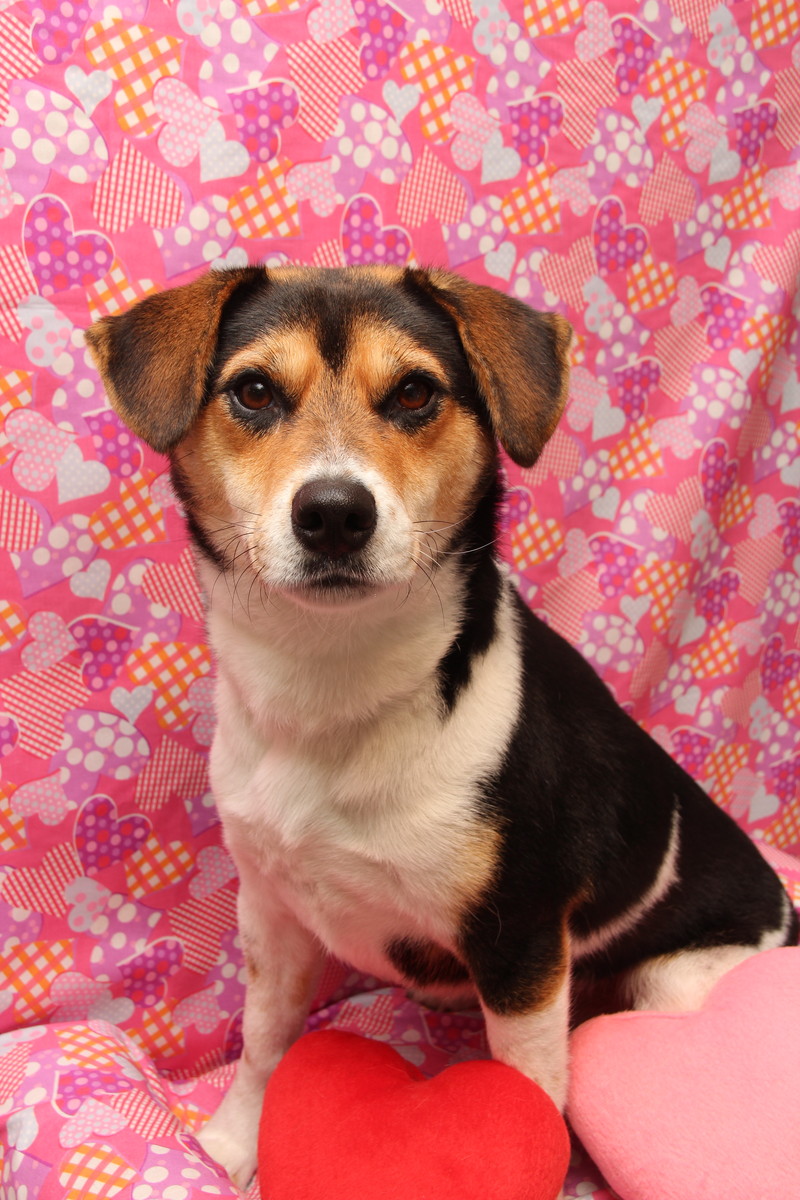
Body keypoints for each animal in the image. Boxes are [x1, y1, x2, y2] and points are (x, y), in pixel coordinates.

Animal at [86, 265, 798, 1188]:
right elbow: (264, 1041)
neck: (334, 685)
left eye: (416, 393)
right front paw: (233, 1146)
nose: (334, 512)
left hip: (675, 983)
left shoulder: (523, 944)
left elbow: (531, 1090)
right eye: (253, 391)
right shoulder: (272, 912)